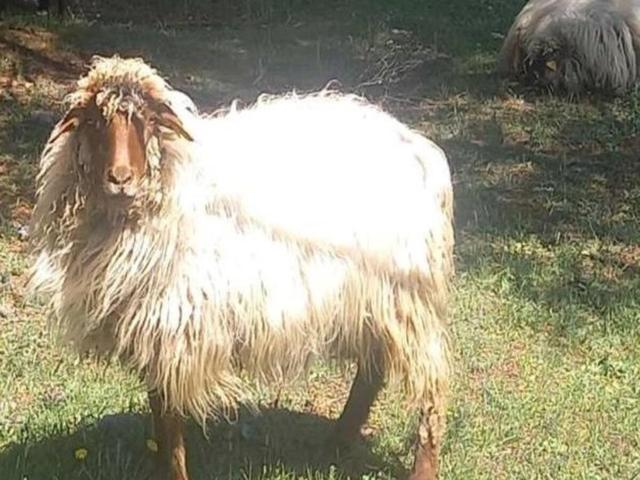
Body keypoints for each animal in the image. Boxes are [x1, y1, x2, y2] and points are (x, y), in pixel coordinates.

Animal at [28, 55, 454, 480]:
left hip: (408, 300)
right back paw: (338, 441)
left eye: (146, 121)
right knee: (372, 372)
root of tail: (420, 150)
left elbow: (168, 415)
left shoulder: (177, 326)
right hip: (375, 301)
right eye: (94, 122)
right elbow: (160, 412)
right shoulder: (156, 328)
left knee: (430, 387)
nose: (120, 179)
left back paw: (420, 466)